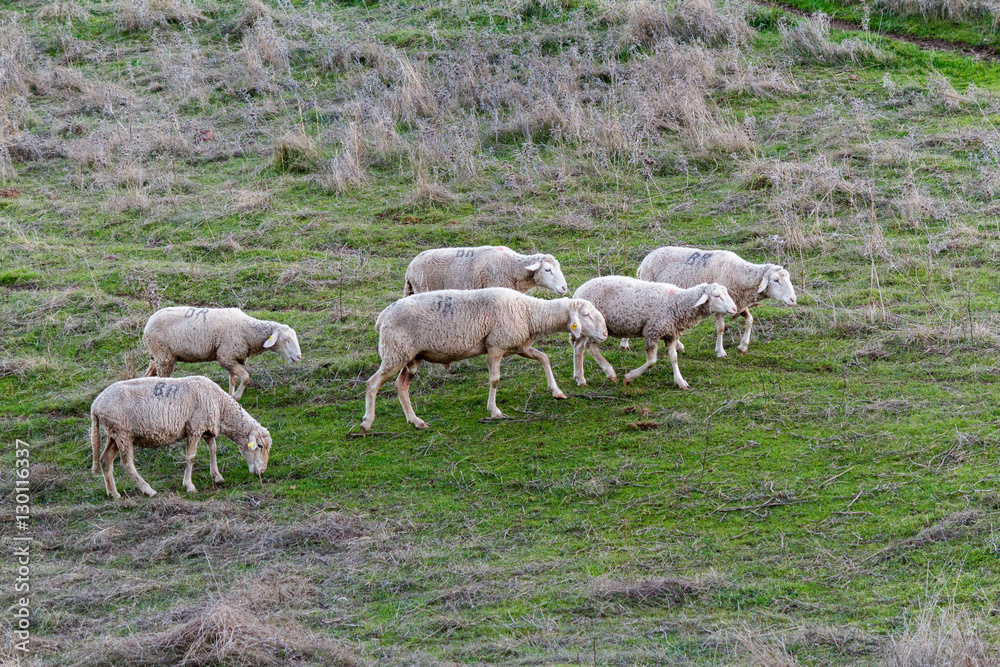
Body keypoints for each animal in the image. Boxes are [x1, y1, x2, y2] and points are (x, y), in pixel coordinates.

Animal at [89, 376, 271, 498]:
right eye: (260, 446)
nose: (262, 471)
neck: (221, 406)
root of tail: (95, 405)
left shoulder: (205, 428)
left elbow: (213, 449)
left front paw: (217, 476)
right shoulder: (195, 427)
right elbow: (191, 457)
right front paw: (189, 485)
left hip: (115, 434)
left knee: (105, 460)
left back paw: (113, 493)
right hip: (123, 433)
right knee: (127, 464)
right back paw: (149, 490)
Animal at [143, 307, 302, 400]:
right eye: (286, 339)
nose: (299, 356)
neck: (247, 331)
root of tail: (147, 324)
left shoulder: (232, 357)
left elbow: (233, 379)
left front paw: (231, 395)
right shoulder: (226, 357)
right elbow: (245, 377)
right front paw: (236, 396)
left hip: (156, 355)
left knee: (148, 374)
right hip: (163, 355)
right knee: (162, 378)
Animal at [360, 288, 607, 433]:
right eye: (586, 315)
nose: (605, 334)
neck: (528, 312)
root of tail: (382, 317)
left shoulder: (517, 345)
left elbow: (544, 358)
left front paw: (556, 392)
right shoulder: (496, 346)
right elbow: (495, 380)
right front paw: (495, 411)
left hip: (411, 357)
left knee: (401, 386)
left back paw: (416, 421)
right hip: (395, 352)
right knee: (372, 383)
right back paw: (367, 423)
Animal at [572, 277, 738, 389]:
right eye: (717, 296)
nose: (735, 309)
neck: (677, 302)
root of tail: (578, 292)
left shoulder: (670, 334)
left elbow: (674, 358)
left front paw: (680, 381)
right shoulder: (652, 331)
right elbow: (652, 361)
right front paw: (629, 377)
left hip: (585, 328)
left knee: (579, 348)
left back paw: (580, 378)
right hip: (595, 327)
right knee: (591, 347)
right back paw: (609, 372)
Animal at [631, 247, 797, 357]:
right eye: (775, 280)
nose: (793, 299)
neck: (739, 274)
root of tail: (644, 262)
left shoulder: (737, 304)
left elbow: (750, 320)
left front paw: (743, 346)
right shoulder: (719, 306)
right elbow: (721, 328)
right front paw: (720, 351)